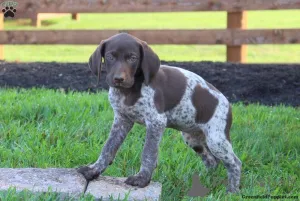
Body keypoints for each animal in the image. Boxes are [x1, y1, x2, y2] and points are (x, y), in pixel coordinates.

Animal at [77, 33, 241, 193]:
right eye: (110, 56)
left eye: (133, 58)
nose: (118, 79)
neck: (129, 90)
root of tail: (228, 103)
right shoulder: (122, 120)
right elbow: (108, 148)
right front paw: (94, 170)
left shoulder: (156, 122)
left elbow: (148, 153)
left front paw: (142, 179)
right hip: (193, 139)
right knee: (211, 161)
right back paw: (204, 182)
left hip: (216, 139)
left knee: (235, 163)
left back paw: (232, 191)